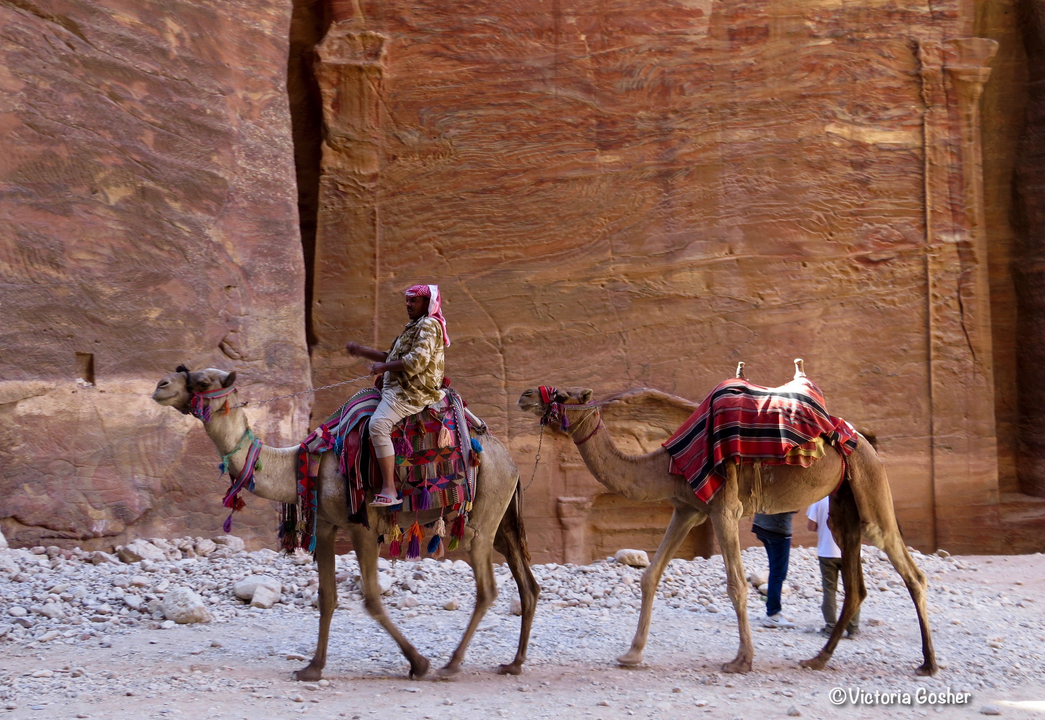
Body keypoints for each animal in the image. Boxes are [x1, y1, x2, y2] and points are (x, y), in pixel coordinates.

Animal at [153, 367, 539, 681]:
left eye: (204, 381)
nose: (161, 385)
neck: (301, 464)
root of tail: (512, 464)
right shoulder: (325, 525)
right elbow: (327, 597)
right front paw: (312, 668)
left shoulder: (362, 526)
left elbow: (371, 599)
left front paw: (419, 663)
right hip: (501, 519)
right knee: (528, 584)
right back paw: (514, 663)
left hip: (481, 521)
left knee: (487, 588)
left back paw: (451, 665)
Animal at [518, 360, 937, 676]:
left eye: (562, 395)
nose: (524, 395)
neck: (667, 466)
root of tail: (856, 436)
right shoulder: (687, 508)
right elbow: (650, 575)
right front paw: (631, 654)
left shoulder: (722, 509)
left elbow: (736, 585)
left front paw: (741, 660)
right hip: (843, 503)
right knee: (855, 582)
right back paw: (818, 658)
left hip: (870, 482)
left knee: (907, 566)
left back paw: (928, 664)